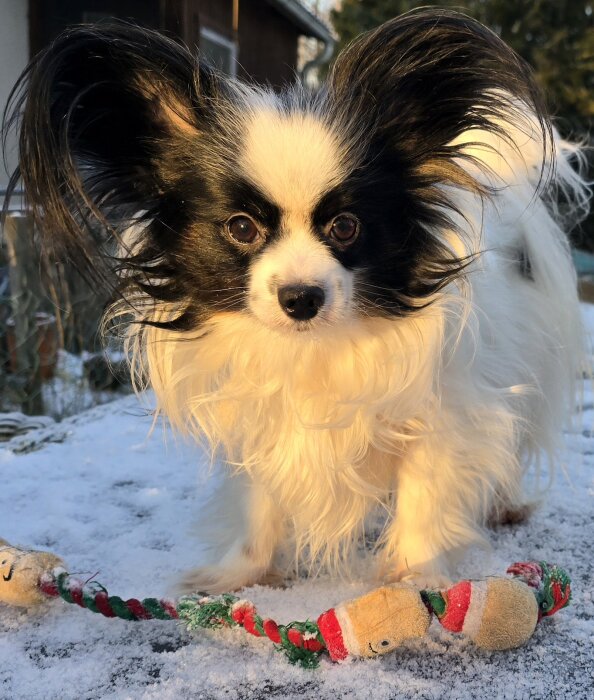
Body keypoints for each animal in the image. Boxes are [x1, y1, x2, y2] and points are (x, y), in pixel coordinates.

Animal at [3, 9, 588, 592]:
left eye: (346, 226)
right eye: (241, 228)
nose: (301, 298)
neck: (314, 347)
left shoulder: (444, 414)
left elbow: (424, 497)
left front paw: (416, 579)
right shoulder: (264, 424)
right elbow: (259, 506)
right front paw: (239, 573)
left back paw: (505, 503)